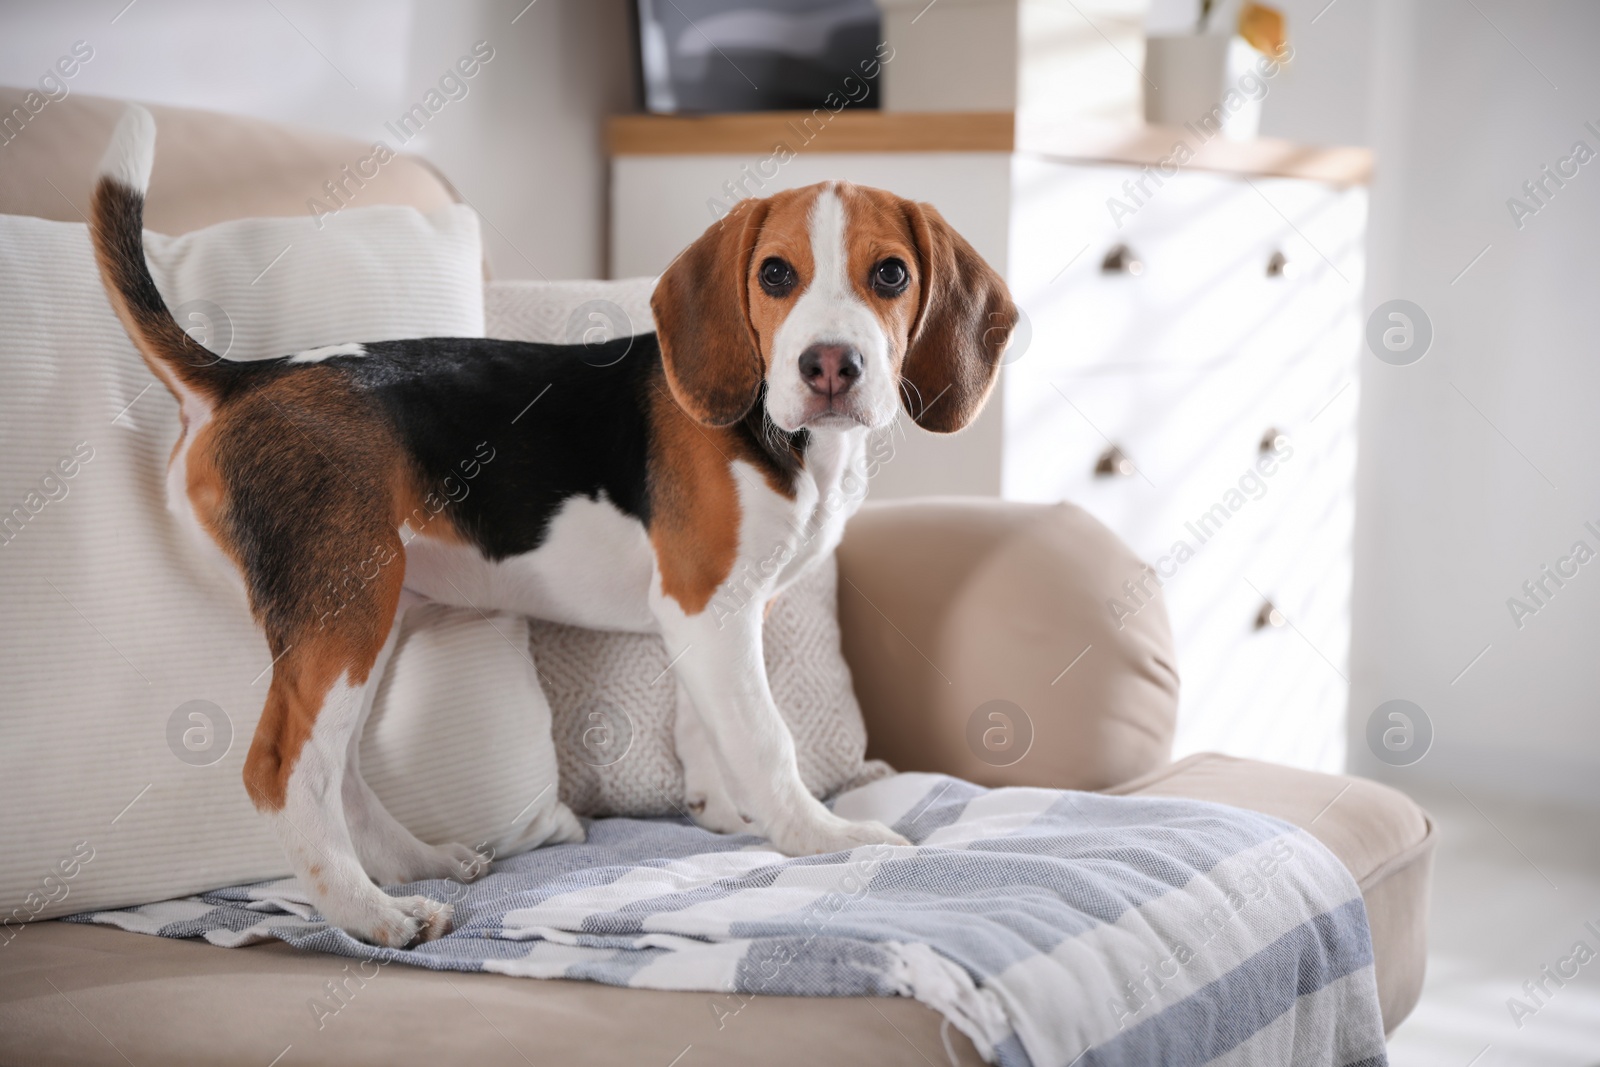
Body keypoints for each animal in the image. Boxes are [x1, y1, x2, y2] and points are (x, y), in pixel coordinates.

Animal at [90, 103, 1011, 947]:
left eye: (889, 275)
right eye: (777, 274)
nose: (830, 367)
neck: (792, 442)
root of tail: (245, 377)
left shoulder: (710, 616)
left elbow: (708, 725)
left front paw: (723, 812)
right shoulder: (710, 604)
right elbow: (766, 737)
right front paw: (816, 835)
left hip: (365, 608)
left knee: (338, 768)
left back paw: (417, 864)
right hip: (343, 606)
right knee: (284, 770)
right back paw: (370, 913)